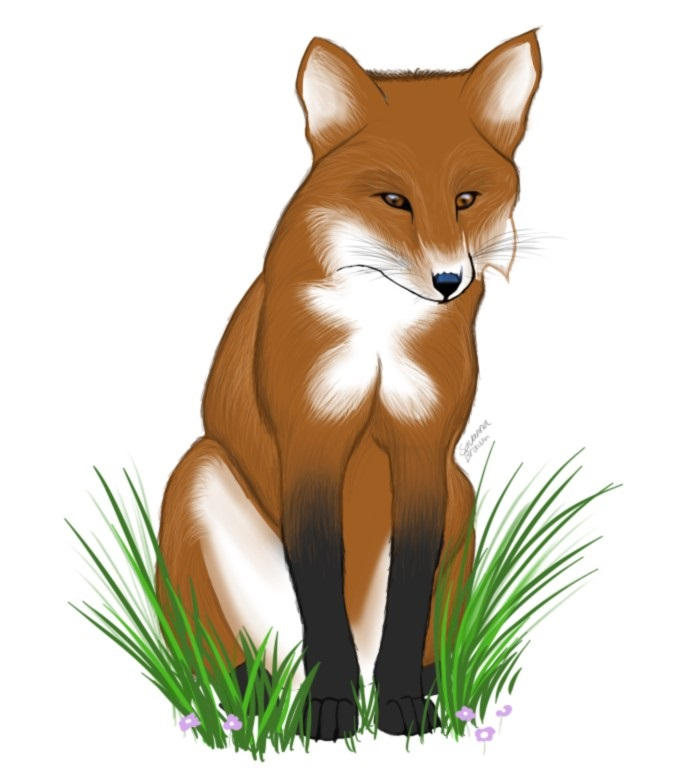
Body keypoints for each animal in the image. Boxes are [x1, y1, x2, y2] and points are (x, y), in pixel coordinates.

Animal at [156, 30, 541, 741]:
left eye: (466, 200)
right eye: (393, 200)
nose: (449, 281)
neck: (381, 335)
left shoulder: (424, 448)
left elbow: (410, 593)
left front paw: (399, 707)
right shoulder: (310, 437)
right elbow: (320, 583)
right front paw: (330, 707)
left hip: (461, 492)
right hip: (198, 473)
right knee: (230, 667)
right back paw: (260, 706)